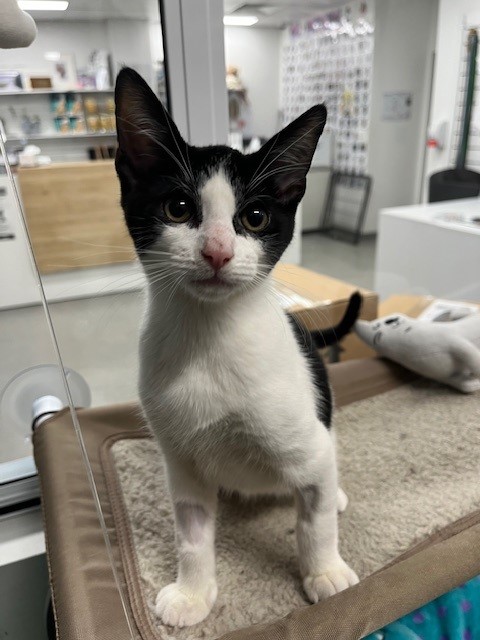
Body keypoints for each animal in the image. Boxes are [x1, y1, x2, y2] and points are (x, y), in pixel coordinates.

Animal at [115, 67, 359, 628]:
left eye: (255, 218)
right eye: (178, 208)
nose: (218, 252)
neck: (211, 338)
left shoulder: (308, 448)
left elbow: (313, 519)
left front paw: (324, 573)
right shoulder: (181, 461)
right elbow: (191, 533)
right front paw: (192, 593)